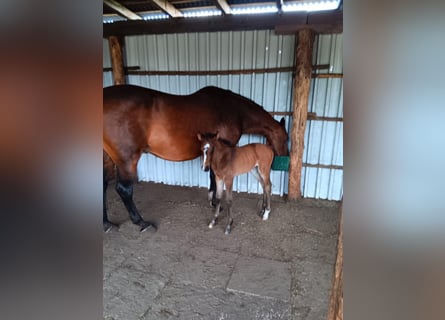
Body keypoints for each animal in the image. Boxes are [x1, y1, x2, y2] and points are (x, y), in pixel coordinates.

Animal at [102, 84, 286, 231]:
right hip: (126, 160)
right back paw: (142, 222)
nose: (283, 158)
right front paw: (215, 203)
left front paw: (213, 201)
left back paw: (107, 224)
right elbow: (214, 177)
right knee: (124, 189)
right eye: (286, 137)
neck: (233, 110)